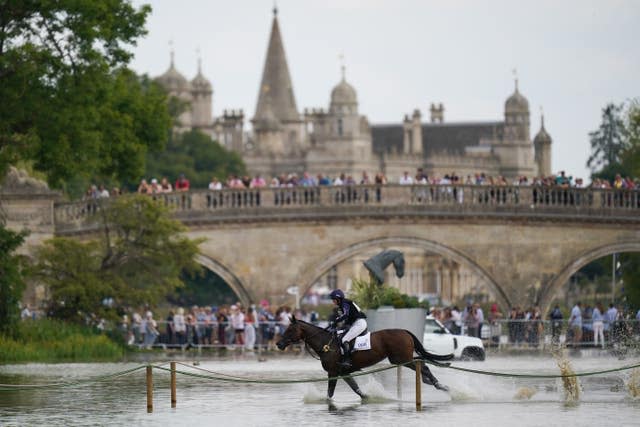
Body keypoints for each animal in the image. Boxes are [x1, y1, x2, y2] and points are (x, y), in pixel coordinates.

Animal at [276, 314, 450, 402]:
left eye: (290, 329)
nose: (279, 344)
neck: (326, 343)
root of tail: (404, 331)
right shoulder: (343, 372)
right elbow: (356, 389)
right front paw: (369, 397)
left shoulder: (333, 372)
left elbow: (330, 393)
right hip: (399, 359)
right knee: (423, 364)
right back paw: (433, 383)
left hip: (401, 359)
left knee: (423, 365)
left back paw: (440, 385)